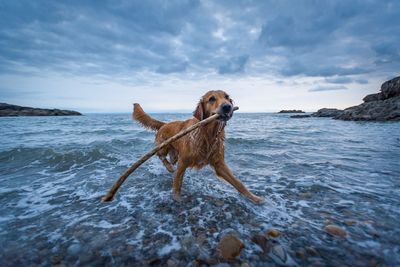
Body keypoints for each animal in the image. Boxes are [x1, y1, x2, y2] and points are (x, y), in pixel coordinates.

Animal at [134, 91, 264, 204]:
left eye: (227, 97)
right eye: (211, 99)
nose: (227, 107)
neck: (208, 134)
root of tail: (164, 124)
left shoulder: (219, 164)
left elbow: (238, 183)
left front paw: (254, 198)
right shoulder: (183, 162)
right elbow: (177, 183)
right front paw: (176, 198)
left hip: (174, 153)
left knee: (170, 157)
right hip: (164, 146)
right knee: (159, 155)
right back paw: (169, 167)